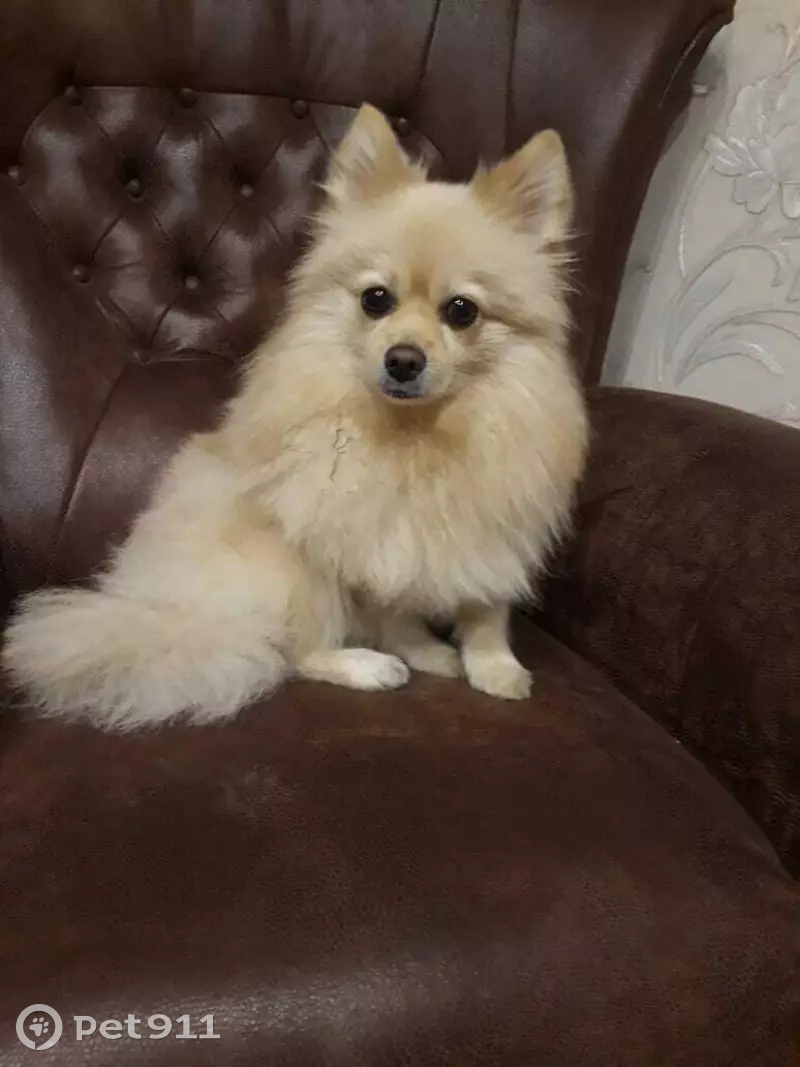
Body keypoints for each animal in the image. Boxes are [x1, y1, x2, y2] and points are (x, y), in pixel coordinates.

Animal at [1, 104, 588, 729]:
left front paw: (495, 665)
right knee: (293, 652)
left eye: (462, 311)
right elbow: (394, 612)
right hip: (287, 561)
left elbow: (487, 606)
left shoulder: (501, 523)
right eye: (376, 300)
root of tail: (163, 598)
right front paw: (428, 653)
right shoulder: (364, 540)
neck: (420, 434)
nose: (403, 359)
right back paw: (365, 665)